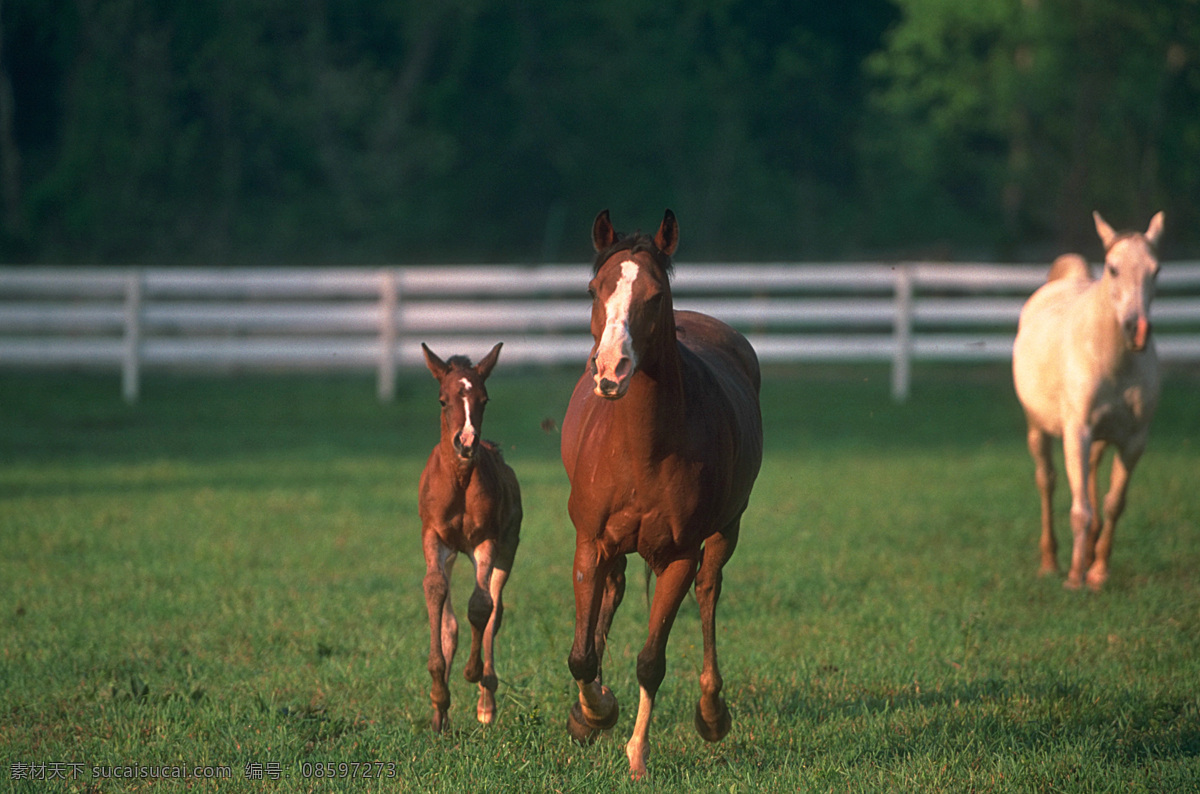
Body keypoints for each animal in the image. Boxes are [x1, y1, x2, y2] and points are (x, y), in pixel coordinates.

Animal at [417, 342, 522, 730]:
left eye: (484, 399)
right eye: (442, 400)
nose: (465, 442)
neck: (460, 480)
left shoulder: (486, 541)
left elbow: (480, 606)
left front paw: (472, 672)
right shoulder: (434, 537)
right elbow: (436, 596)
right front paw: (438, 702)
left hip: (507, 550)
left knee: (494, 611)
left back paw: (486, 702)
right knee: (450, 621)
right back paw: (443, 714)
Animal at [560, 209, 763, 778]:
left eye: (655, 295)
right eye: (595, 289)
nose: (611, 369)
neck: (640, 447)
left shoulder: (679, 556)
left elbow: (651, 661)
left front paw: (637, 754)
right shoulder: (591, 542)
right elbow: (581, 654)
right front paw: (594, 712)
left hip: (727, 530)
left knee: (709, 592)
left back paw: (712, 712)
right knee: (612, 595)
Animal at [1012, 211, 1163, 591]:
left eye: (1156, 270)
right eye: (1112, 268)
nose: (1137, 330)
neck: (1111, 358)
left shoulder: (1134, 440)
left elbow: (1114, 503)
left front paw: (1098, 572)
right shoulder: (1076, 432)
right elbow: (1080, 508)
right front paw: (1074, 578)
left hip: (1100, 438)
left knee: (1093, 474)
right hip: (1037, 428)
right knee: (1047, 481)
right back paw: (1050, 562)